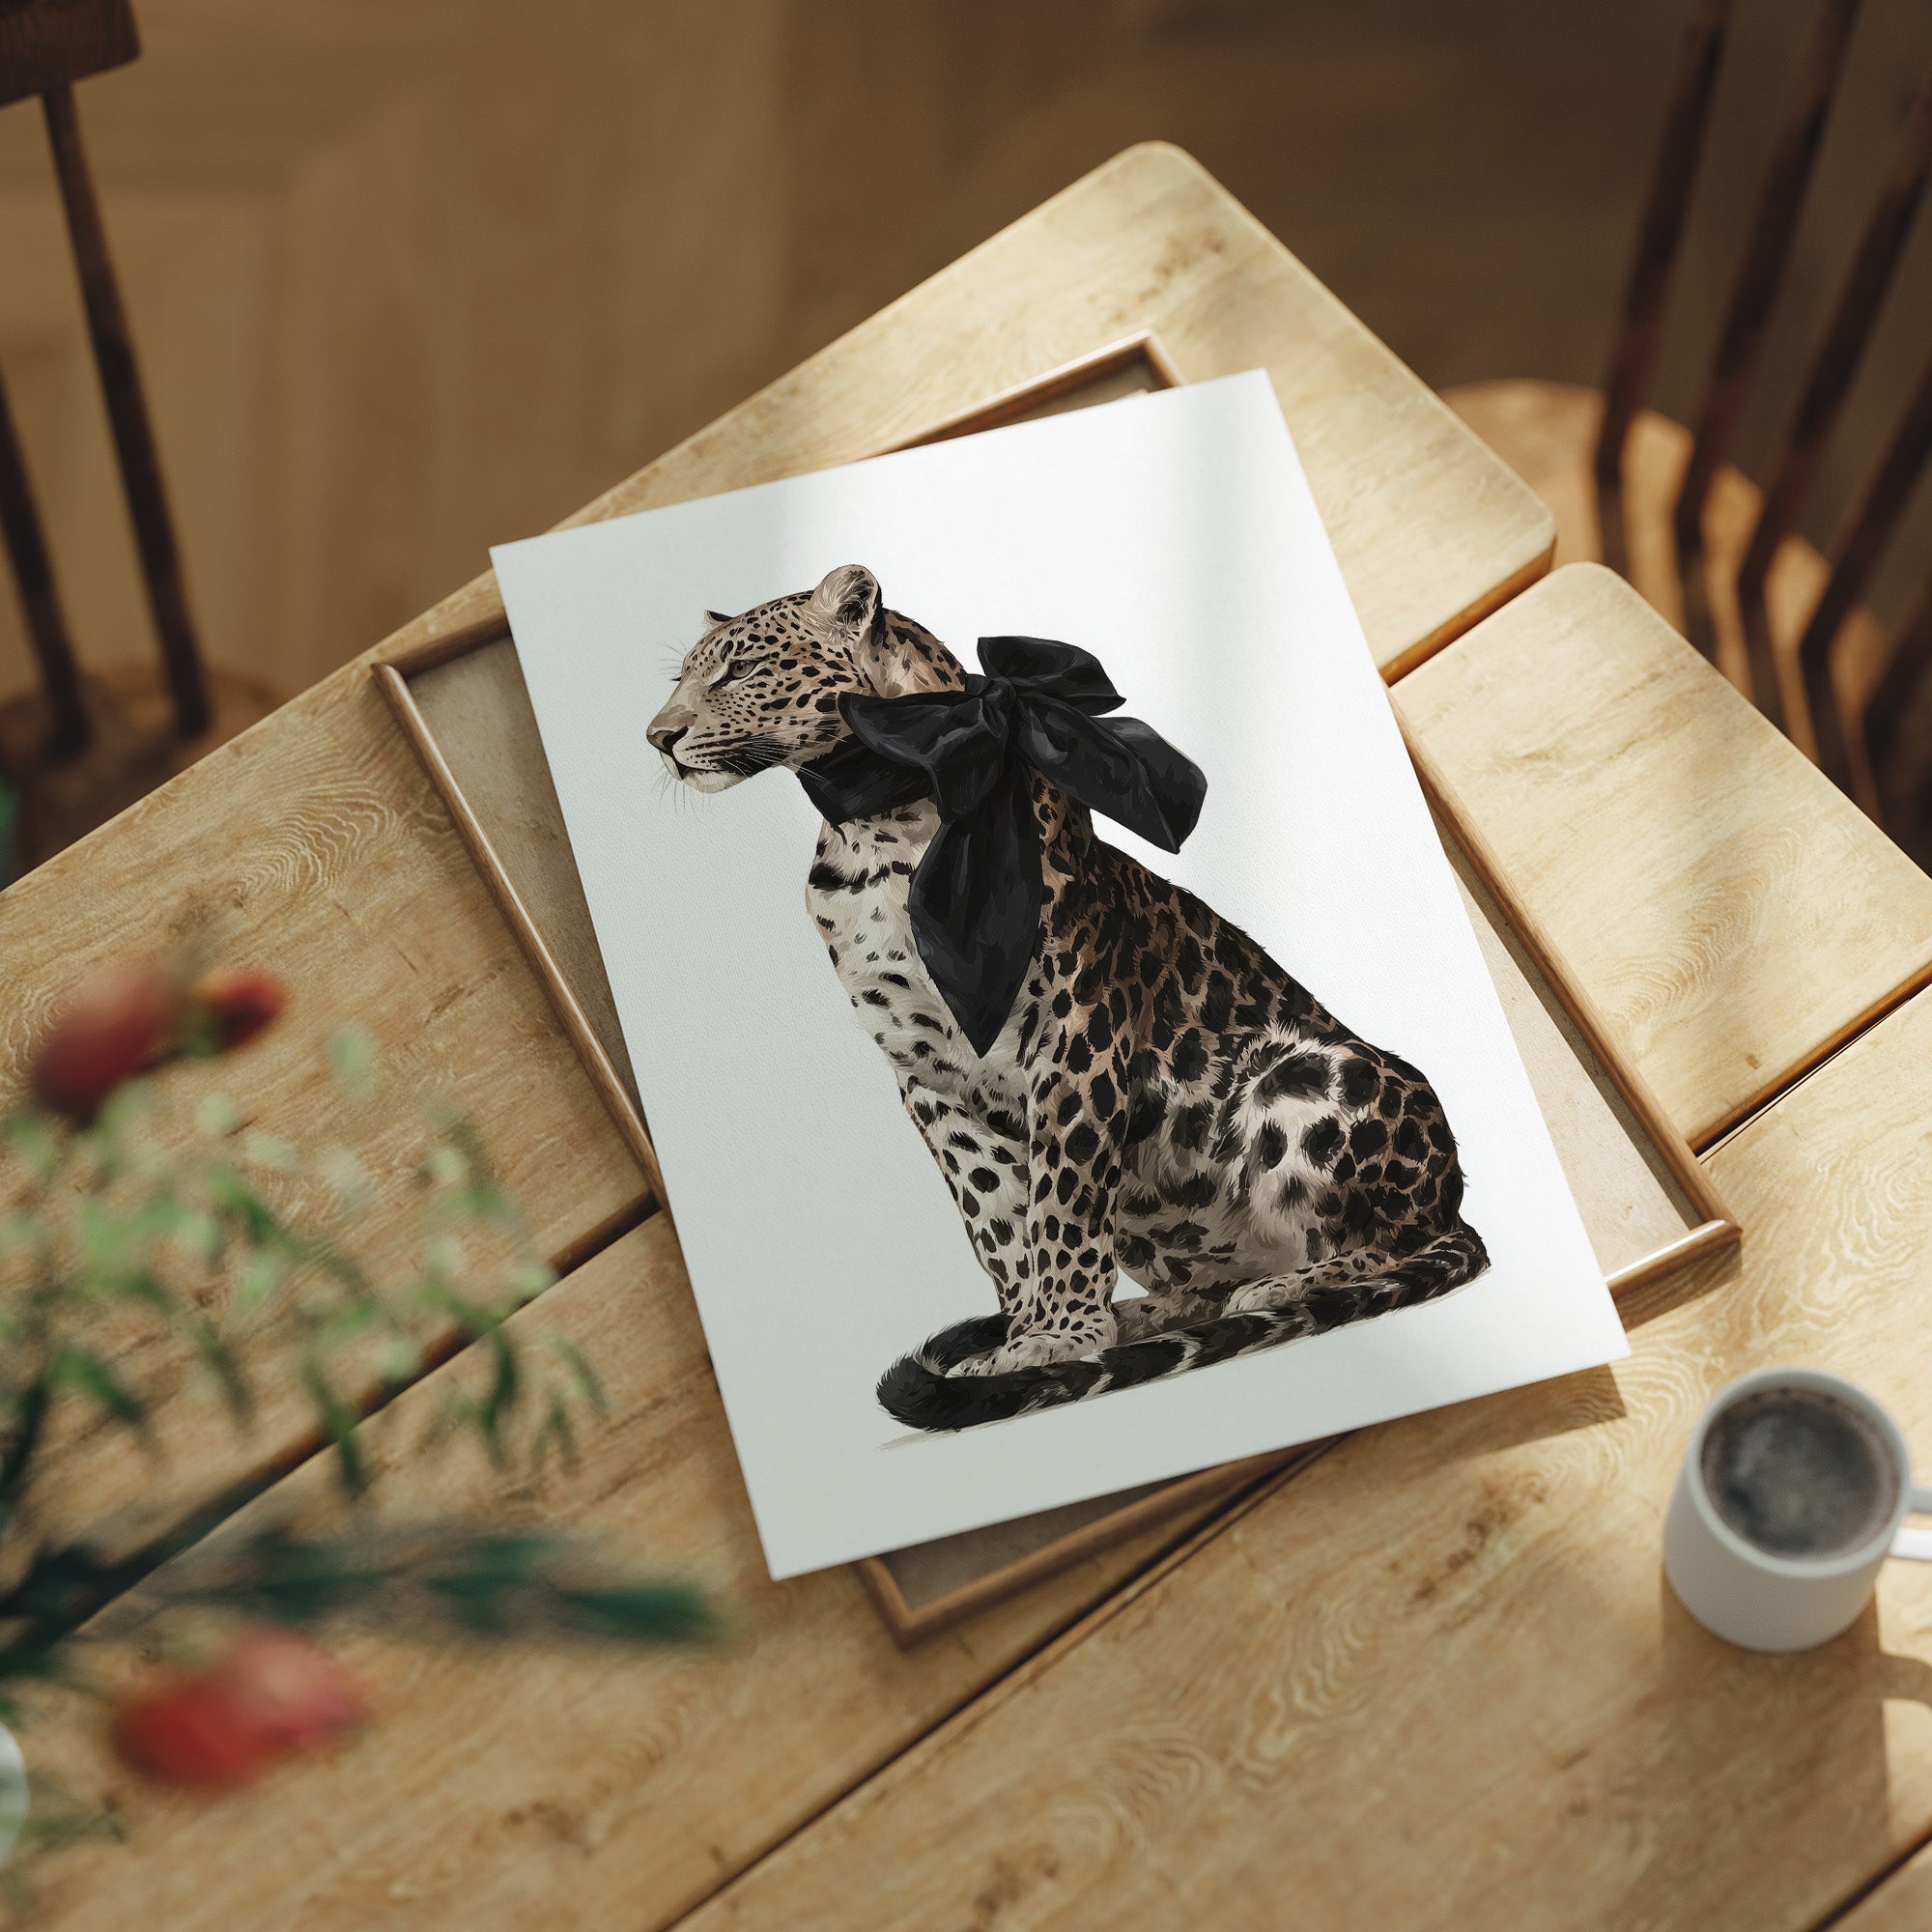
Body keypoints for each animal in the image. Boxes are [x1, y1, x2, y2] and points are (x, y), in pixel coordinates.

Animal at [646, 563, 1489, 1431]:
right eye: (682, 677)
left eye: (740, 670)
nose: (657, 737)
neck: (883, 828)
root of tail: (1453, 1199)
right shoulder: (924, 1073)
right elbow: (992, 1209)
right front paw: (1031, 1334)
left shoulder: (1075, 1033)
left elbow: (1061, 1193)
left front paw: (1059, 1334)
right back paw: (1150, 1313)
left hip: (1303, 1074)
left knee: (1388, 1241)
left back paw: (1278, 1288)